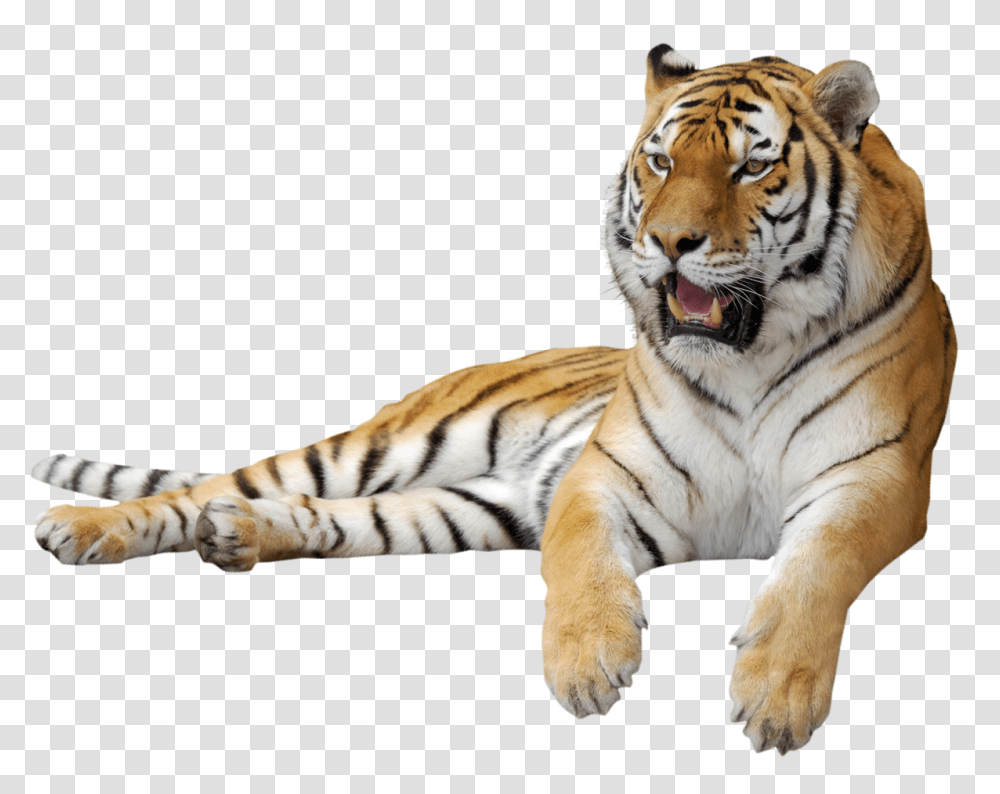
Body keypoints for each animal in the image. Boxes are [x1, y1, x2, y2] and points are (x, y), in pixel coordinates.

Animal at [30, 45, 956, 755]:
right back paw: (80, 527)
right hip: (385, 446)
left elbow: (815, 569)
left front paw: (775, 695)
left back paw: (239, 537)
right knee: (214, 486)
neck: (749, 359)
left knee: (321, 517)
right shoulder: (603, 475)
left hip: (469, 505)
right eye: (661, 160)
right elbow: (579, 561)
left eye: (752, 165)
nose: (667, 242)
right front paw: (587, 661)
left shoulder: (875, 478)